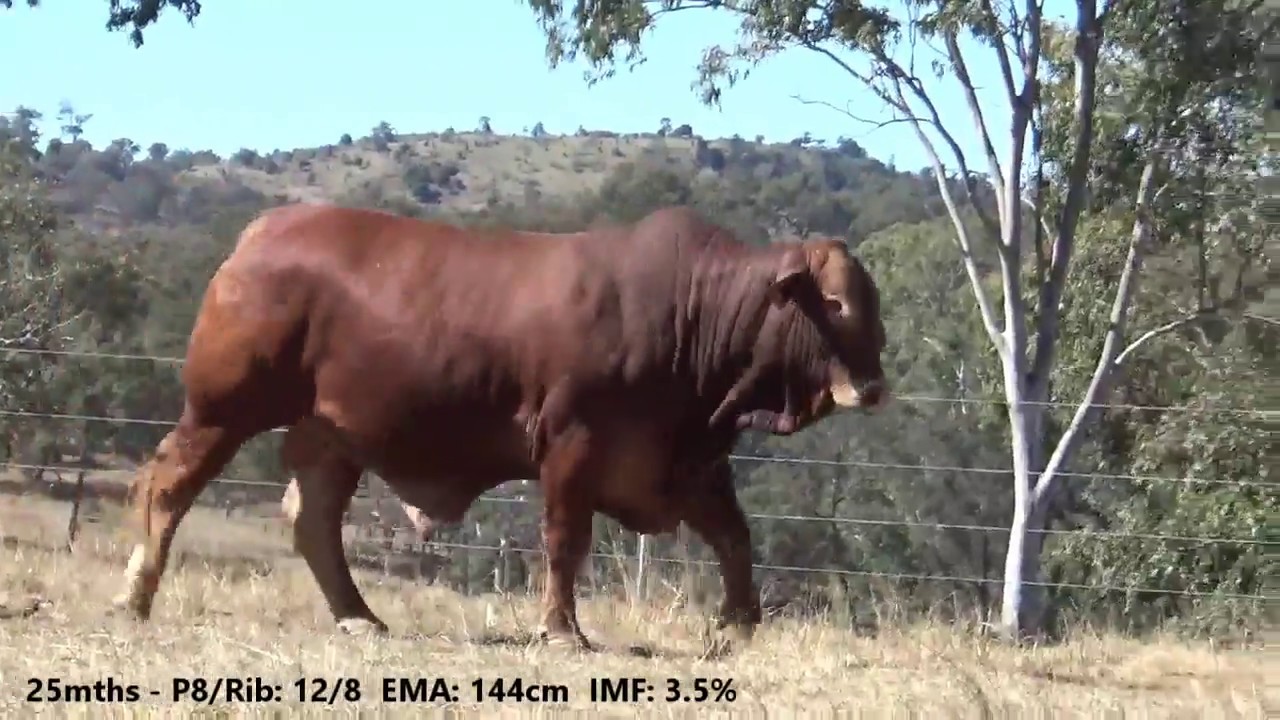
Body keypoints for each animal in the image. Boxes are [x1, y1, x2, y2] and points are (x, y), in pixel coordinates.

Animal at [111, 203, 889, 650]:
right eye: (834, 302)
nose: (874, 384)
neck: (693, 315)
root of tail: (260, 234)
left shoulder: (687, 463)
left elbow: (734, 536)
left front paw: (740, 620)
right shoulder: (573, 444)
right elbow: (566, 543)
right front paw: (562, 631)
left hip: (328, 436)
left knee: (313, 523)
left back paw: (359, 615)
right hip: (221, 411)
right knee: (166, 487)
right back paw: (134, 597)